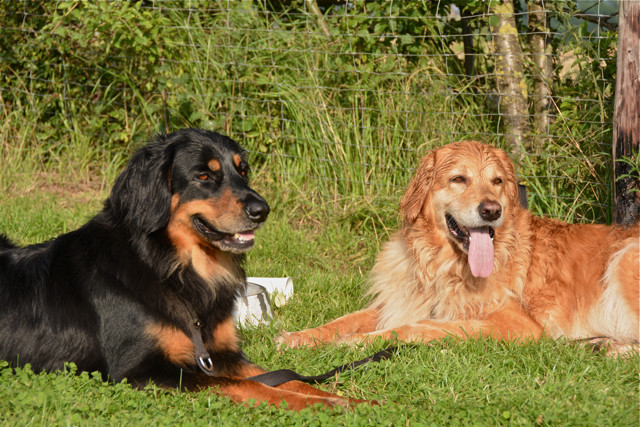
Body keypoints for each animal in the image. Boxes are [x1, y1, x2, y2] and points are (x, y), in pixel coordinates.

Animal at [0, 128, 362, 412]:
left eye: (243, 172)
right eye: (204, 176)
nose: (262, 210)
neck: (173, 270)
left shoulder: (223, 355)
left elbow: (290, 380)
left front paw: (353, 400)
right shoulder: (138, 370)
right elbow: (247, 385)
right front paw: (324, 404)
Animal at [278, 141, 636, 354]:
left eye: (497, 181)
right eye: (458, 179)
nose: (492, 210)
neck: (443, 265)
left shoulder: (517, 324)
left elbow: (418, 327)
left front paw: (358, 343)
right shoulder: (401, 301)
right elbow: (343, 320)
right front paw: (300, 336)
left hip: (623, 260)